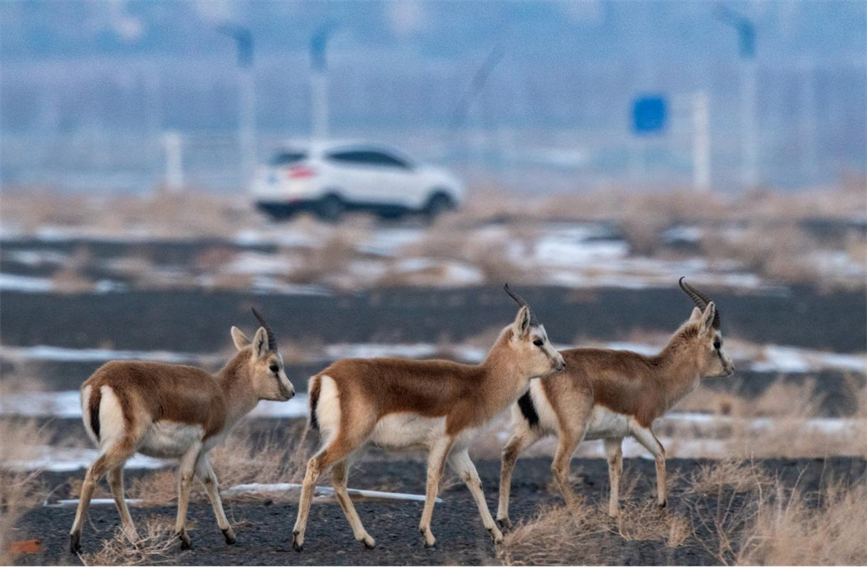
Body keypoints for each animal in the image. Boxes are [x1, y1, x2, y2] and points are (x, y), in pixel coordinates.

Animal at [69, 309, 295, 554]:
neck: (222, 393)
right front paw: (183, 536)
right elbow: (186, 480)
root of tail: (99, 383)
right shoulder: (193, 449)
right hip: (125, 445)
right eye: (274, 366)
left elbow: (211, 482)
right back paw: (75, 541)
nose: (291, 392)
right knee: (94, 472)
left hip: (114, 446)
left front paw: (229, 533)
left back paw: (136, 540)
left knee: (113, 480)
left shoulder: (202, 451)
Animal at [291, 285, 566, 551]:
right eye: (538, 341)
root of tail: (324, 377)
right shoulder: (442, 443)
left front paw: (496, 535)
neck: (478, 385)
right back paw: (298, 539)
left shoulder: (458, 448)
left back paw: (366, 539)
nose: (561, 363)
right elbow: (434, 479)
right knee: (315, 466)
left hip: (357, 446)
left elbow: (474, 481)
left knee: (338, 480)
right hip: (349, 441)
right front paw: (428, 535)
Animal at [496, 278, 735, 527]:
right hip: (573, 432)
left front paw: (613, 514)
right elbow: (660, 452)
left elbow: (615, 467)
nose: (731, 367)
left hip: (532, 429)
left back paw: (503, 519)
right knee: (559, 467)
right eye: (717, 343)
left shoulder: (613, 436)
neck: (656, 375)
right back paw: (580, 517)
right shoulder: (641, 425)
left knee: (508, 454)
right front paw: (661, 506)